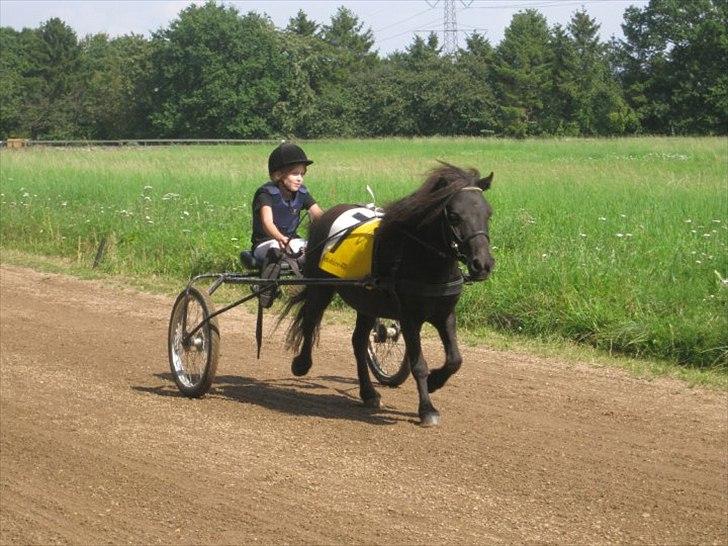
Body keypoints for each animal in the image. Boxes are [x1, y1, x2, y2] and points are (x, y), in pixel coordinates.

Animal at [282, 162, 492, 424]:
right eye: (454, 216)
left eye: (488, 213)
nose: (482, 264)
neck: (421, 258)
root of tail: (327, 215)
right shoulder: (409, 318)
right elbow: (418, 364)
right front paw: (427, 409)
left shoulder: (445, 315)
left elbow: (455, 359)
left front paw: (435, 381)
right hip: (320, 287)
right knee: (311, 320)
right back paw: (302, 363)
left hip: (367, 302)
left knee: (358, 342)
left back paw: (368, 393)